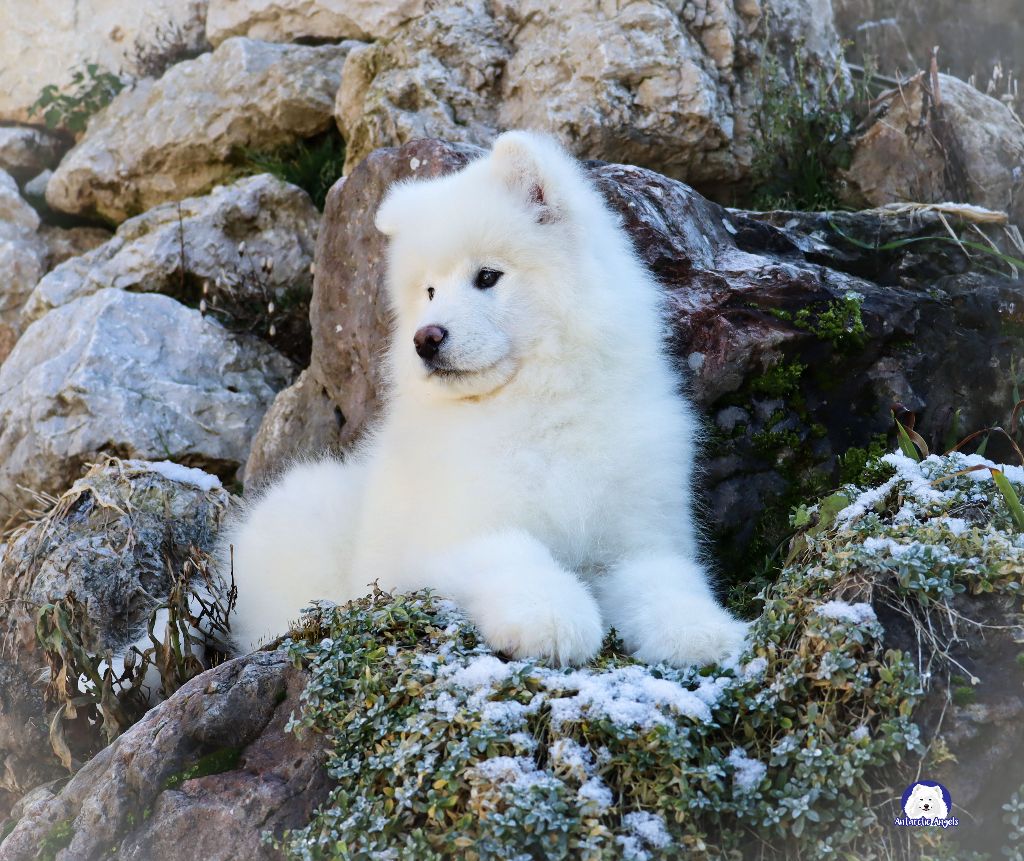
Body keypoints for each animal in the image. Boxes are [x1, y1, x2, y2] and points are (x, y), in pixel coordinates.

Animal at [220, 133, 745, 663]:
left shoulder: (640, 536)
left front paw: (700, 629)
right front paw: (551, 618)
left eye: (488, 277)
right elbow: (514, 554)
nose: (425, 338)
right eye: (430, 290)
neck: (535, 405)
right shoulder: (456, 535)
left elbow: (666, 580)